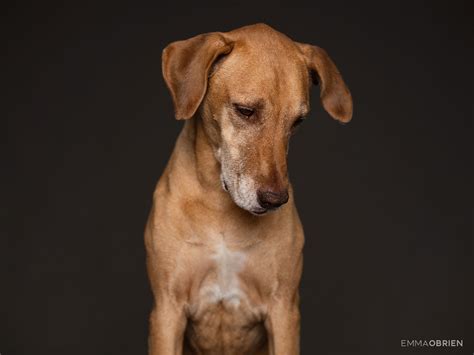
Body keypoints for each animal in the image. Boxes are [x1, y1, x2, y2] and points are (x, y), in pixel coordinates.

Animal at [144, 23, 352, 355]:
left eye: (297, 122)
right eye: (245, 110)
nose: (275, 200)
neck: (221, 207)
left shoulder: (283, 311)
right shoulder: (167, 310)